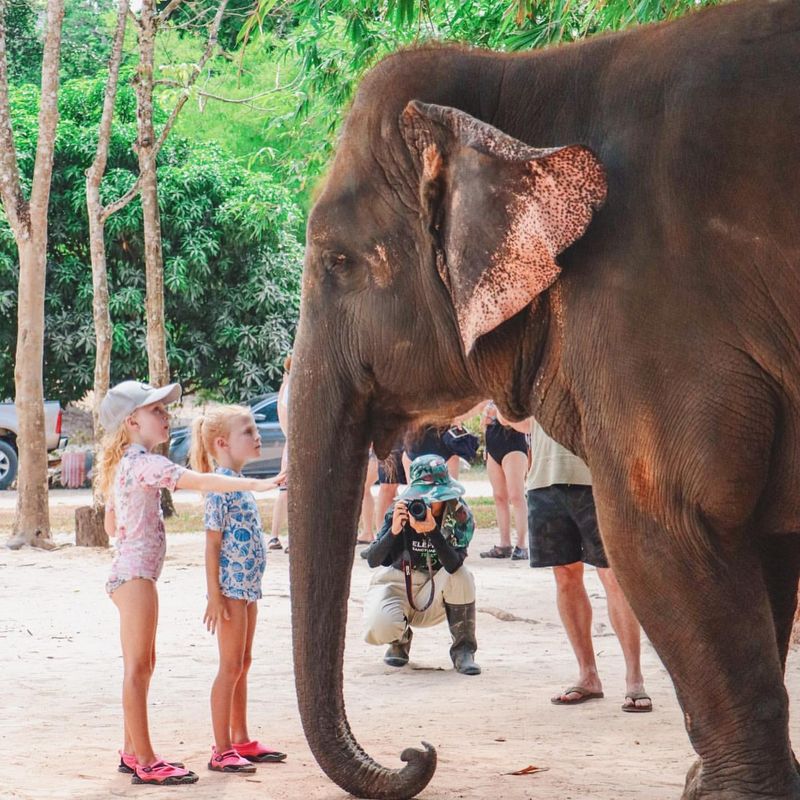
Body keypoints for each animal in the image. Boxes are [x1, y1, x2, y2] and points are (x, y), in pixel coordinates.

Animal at [288, 0, 800, 796]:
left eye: (336, 261)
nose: (418, 751)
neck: (525, 82)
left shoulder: (650, 319)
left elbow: (673, 530)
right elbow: (763, 547)